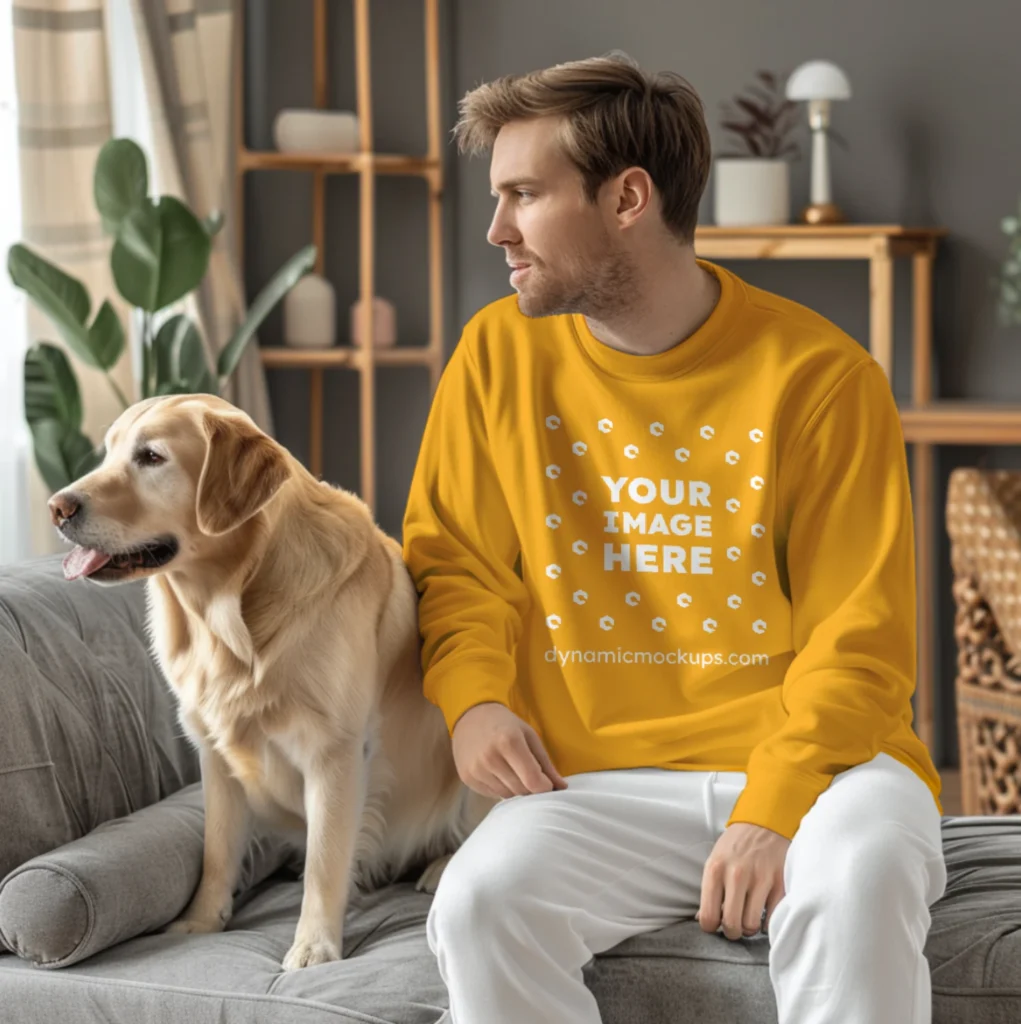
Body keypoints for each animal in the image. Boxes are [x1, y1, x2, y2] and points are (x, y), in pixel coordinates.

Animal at [48, 389, 493, 966]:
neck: (229, 611)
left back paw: (441, 867)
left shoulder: (335, 752)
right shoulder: (214, 755)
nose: (57, 507)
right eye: (108, 452)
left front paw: (314, 945)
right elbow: (217, 851)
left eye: (151, 457)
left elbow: (326, 860)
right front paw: (201, 921)